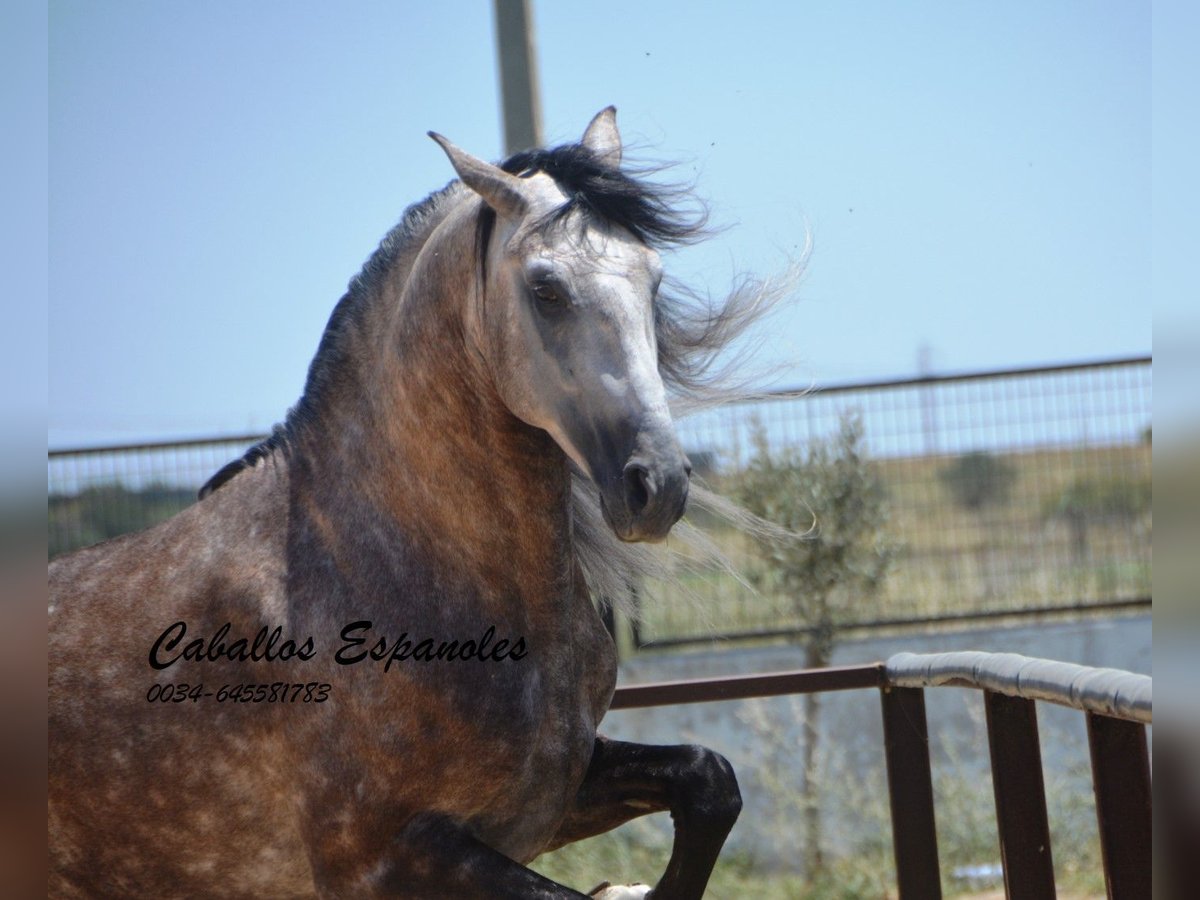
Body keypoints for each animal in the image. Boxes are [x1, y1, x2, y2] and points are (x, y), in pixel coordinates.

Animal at [49, 109, 768, 897]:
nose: (657, 486)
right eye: (546, 289)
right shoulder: (387, 859)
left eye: (653, 278)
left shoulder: (553, 796)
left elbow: (709, 781)